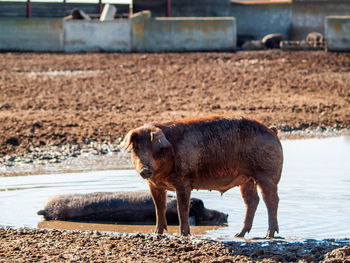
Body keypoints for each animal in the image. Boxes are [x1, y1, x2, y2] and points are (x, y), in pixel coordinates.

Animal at [121, 115, 284, 239]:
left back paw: (268, 235)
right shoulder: (154, 185)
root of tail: (272, 130)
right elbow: (159, 208)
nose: (144, 169)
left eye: (156, 149)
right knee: (252, 201)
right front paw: (157, 234)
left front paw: (184, 235)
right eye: (136, 148)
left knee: (271, 200)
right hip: (246, 179)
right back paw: (239, 234)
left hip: (267, 174)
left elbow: (182, 209)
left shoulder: (184, 181)